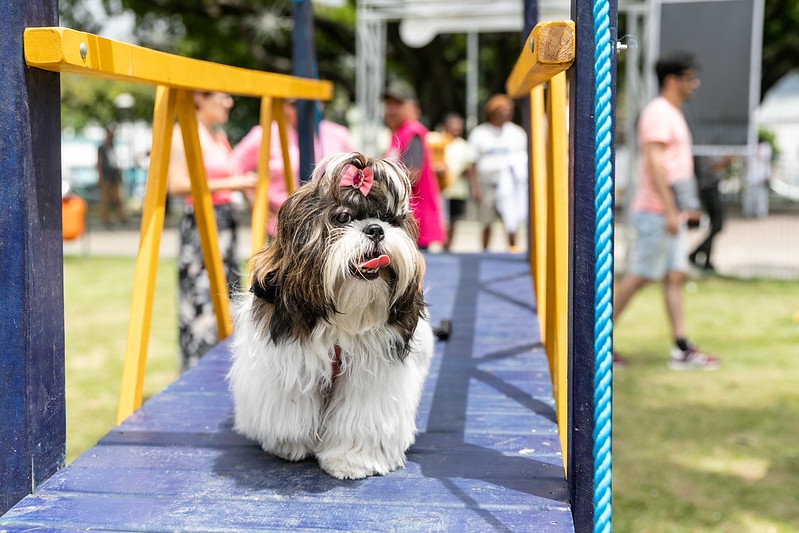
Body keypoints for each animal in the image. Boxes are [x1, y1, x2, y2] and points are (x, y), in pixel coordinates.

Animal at [228, 150, 434, 478]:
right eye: (343, 218)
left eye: (389, 220)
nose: (375, 229)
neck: (342, 322)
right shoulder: (291, 365)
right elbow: (292, 406)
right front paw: (291, 445)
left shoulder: (371, 374)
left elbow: (361, 417)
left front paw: (352, 459)